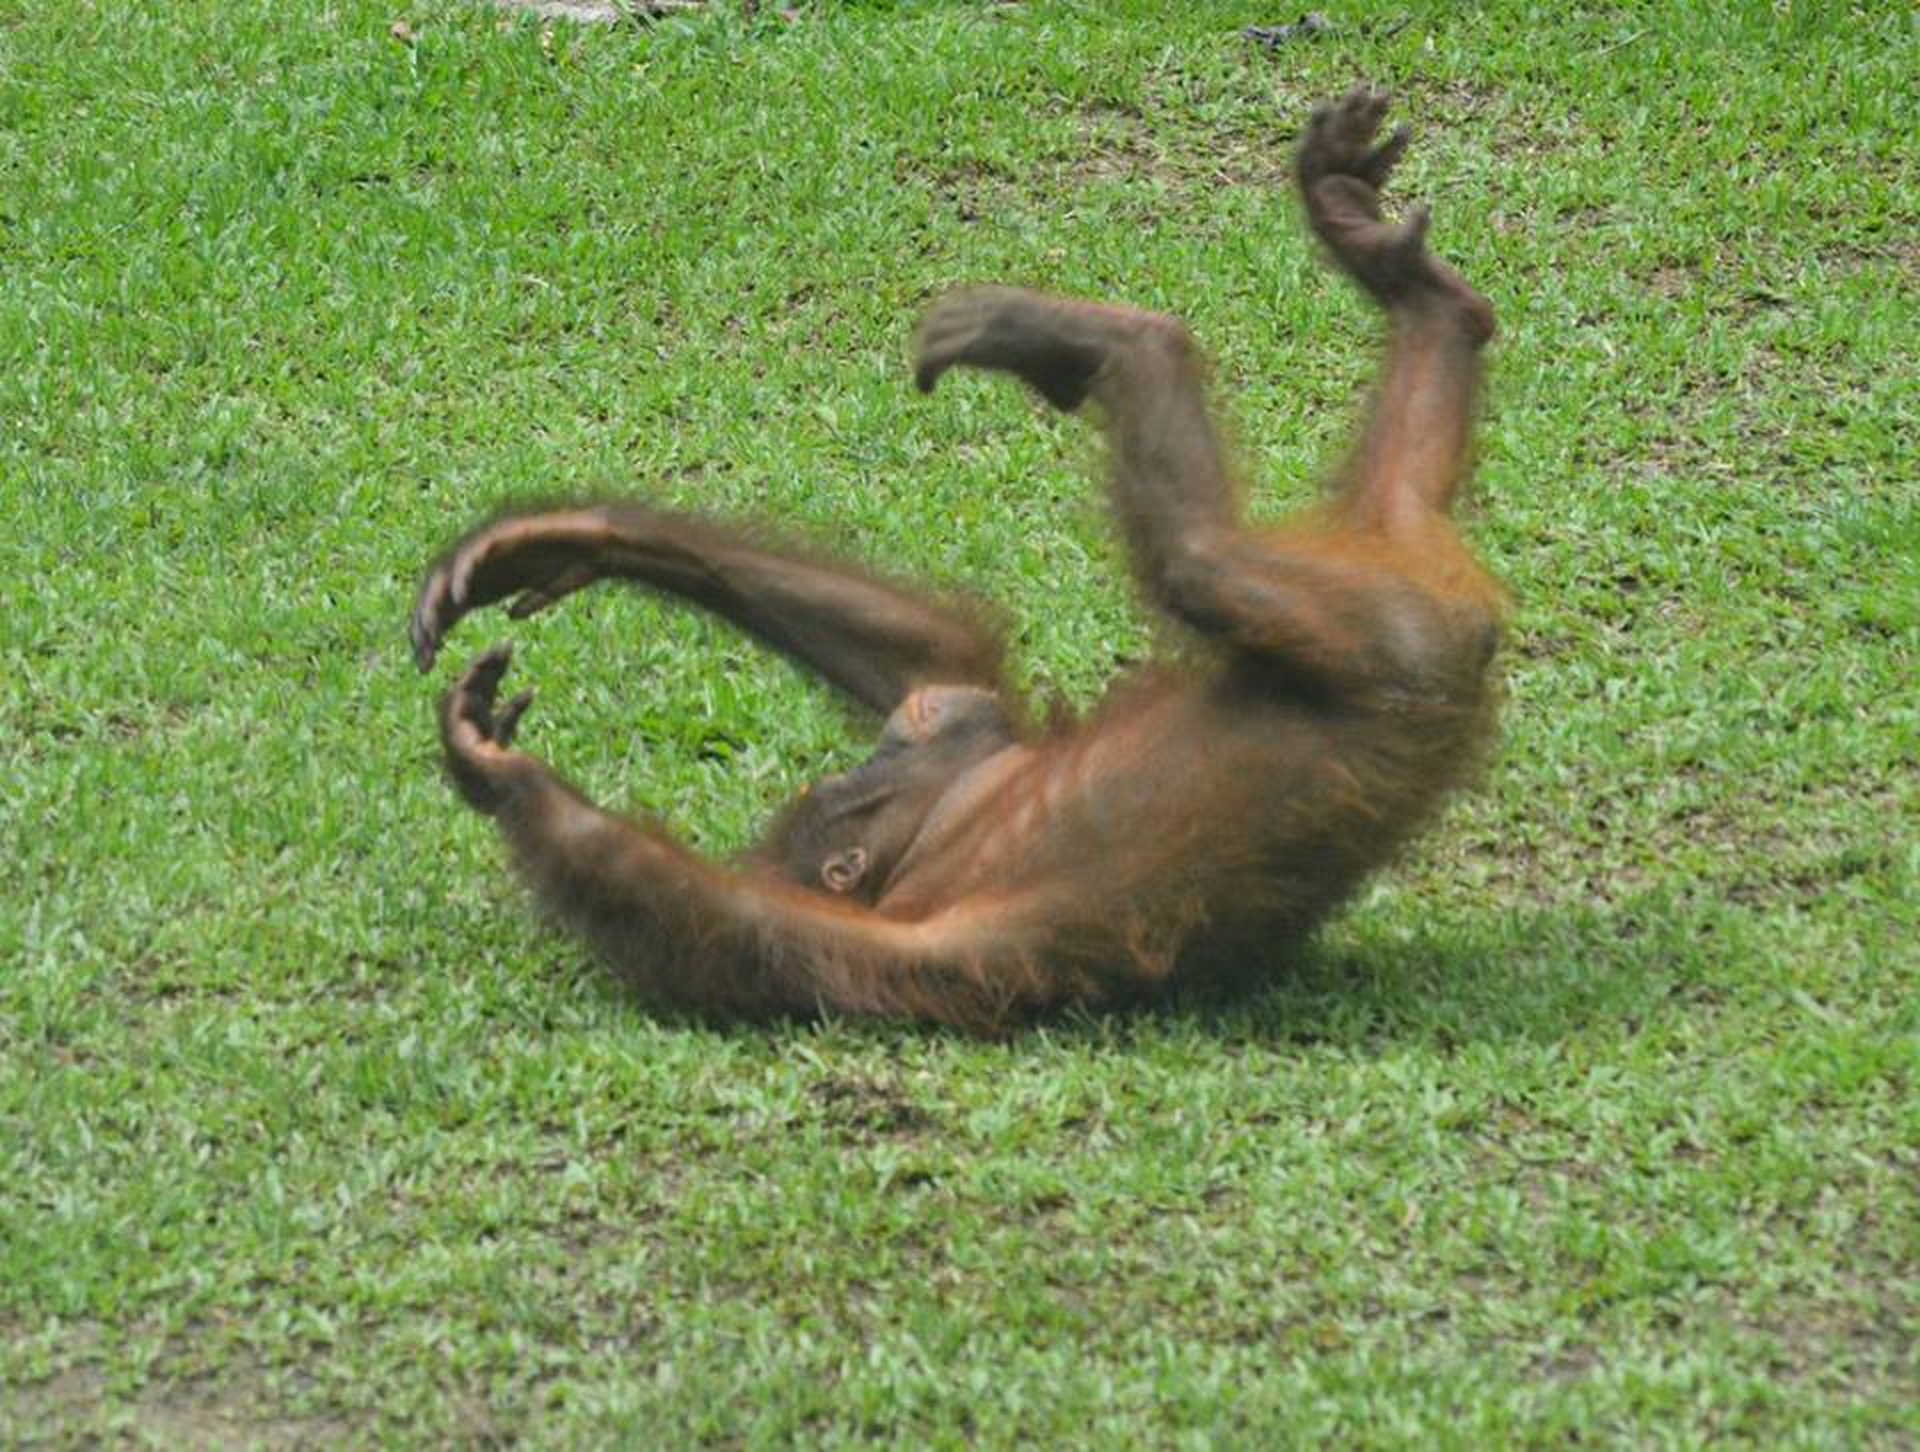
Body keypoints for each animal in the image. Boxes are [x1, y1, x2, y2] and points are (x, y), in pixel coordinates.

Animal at [409, 87, 1505, 1033]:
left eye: (847, 782)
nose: (864, 765)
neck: (931, 838)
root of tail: (1452, 602)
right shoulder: (928, 939)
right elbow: (777, 918)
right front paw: (504, 757)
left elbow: (937, 685)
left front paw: (555, 573)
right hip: (1391, 596)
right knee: (1223, 552)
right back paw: (1406, 299)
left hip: (1381, 602)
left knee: (1196, 556)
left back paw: (1127, 333)